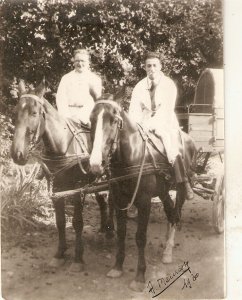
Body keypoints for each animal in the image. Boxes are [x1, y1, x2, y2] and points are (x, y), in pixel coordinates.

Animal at [10, 79, 114, 272]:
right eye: (15, 113)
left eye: (34, 113)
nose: (17, 154)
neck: (63, 146)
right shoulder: (57, 189)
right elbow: (60, 221)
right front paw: (60, 253)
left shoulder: (77, 189)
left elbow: (77, 222)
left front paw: (78, 258)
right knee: (102, 200)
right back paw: (103, 230)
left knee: (111, 200)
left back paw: (110, 231)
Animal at [89, 97, 197, 292]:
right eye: (91, 120)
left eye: (113, 120)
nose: (95, 163)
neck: (134, 154)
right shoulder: (119, 200)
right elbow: (121, 233)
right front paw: (117, 267)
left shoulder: (145, 202)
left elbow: (140, 237)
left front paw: (140, 276)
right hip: (163, 191)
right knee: (170, 213)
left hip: (180, 190)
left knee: (176, 215)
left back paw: (168, 251)